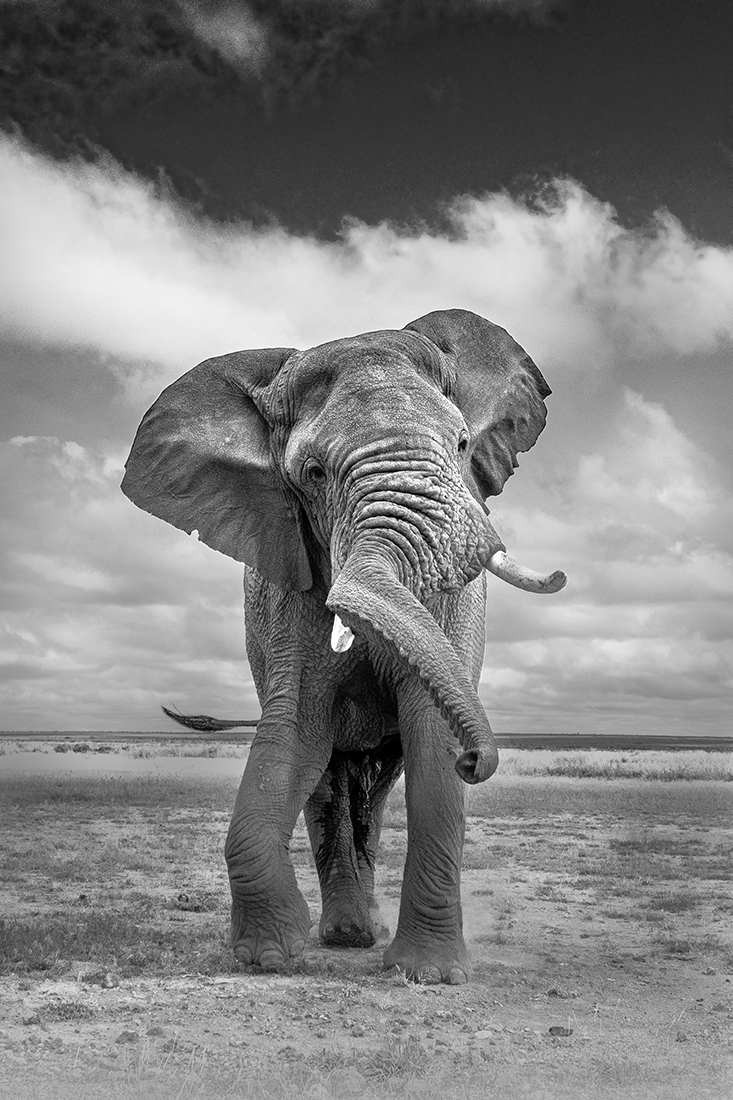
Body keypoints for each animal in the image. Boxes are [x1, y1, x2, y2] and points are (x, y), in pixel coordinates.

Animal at [121, 308, 566, 984]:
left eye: (464, 445)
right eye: (312, 474)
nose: (477, 760)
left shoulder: (459, 603)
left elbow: (430, 742)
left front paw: (431, 975)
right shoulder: (286, 580)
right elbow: (294, 732)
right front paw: (268, 956)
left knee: (373, 797)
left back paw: (365, 934)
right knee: (331, 789)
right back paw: (348, 936)